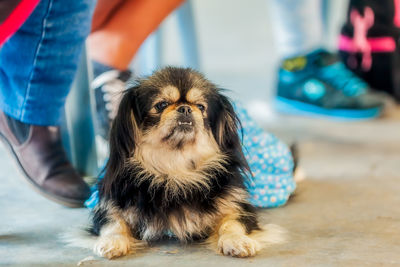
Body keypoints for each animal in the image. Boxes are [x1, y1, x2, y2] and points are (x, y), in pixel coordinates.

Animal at [84, 66, 284, 260]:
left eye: (201, 107)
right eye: (161, 105)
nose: (185, 108)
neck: (176, 169)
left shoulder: (237, 206)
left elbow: (232, 223)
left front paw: (237, 242)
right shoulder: (110, 206)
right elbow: (113, 224)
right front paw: (111, 243)